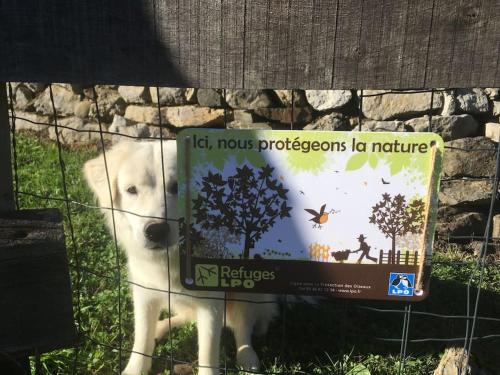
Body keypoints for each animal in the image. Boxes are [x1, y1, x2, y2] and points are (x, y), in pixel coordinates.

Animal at [82, 141, 278, 375]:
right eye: (131, 190)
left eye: (177, 187)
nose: (156, 231)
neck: (173, 256)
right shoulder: (144, 293)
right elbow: (142, 338)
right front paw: (136, 368)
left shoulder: (212, 301)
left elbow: (208, 352)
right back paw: (161, 327)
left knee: (246, 326)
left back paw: (248, 355)